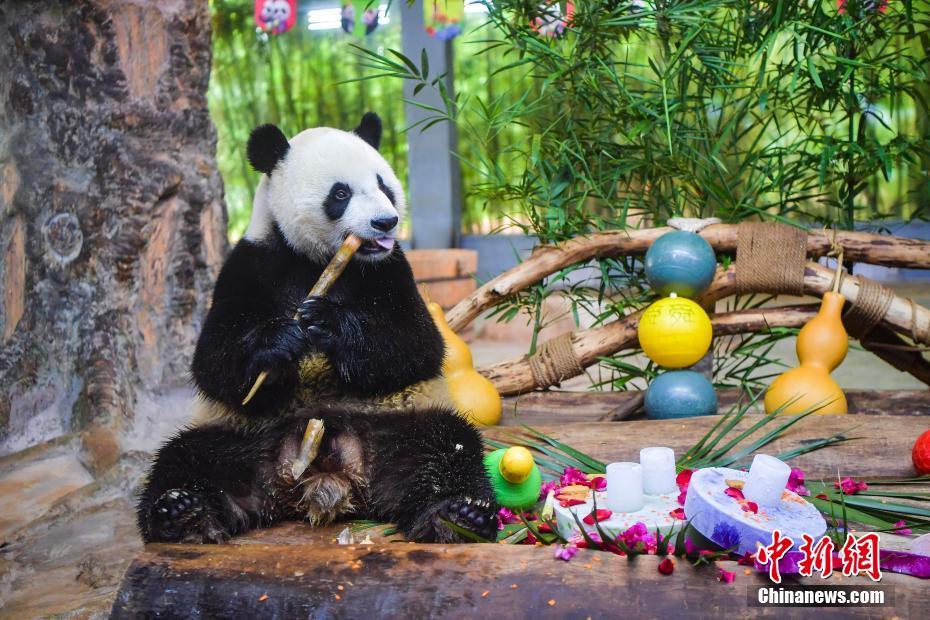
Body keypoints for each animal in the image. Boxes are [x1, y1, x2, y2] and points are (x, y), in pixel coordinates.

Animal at [134, 114, 496, 544]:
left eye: (383, 185)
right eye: (340, 193)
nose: (385, 222)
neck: (319, 260)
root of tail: (325, 478)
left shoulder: (391, 267)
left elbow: (416, 344)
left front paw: (327, 322)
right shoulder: (249, 264)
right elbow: (213, 361)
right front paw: (278, 346)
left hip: (398, 425)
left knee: (446, 447)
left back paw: (455, 516)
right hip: (241, 435)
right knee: (188, 457)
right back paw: (183, 514)